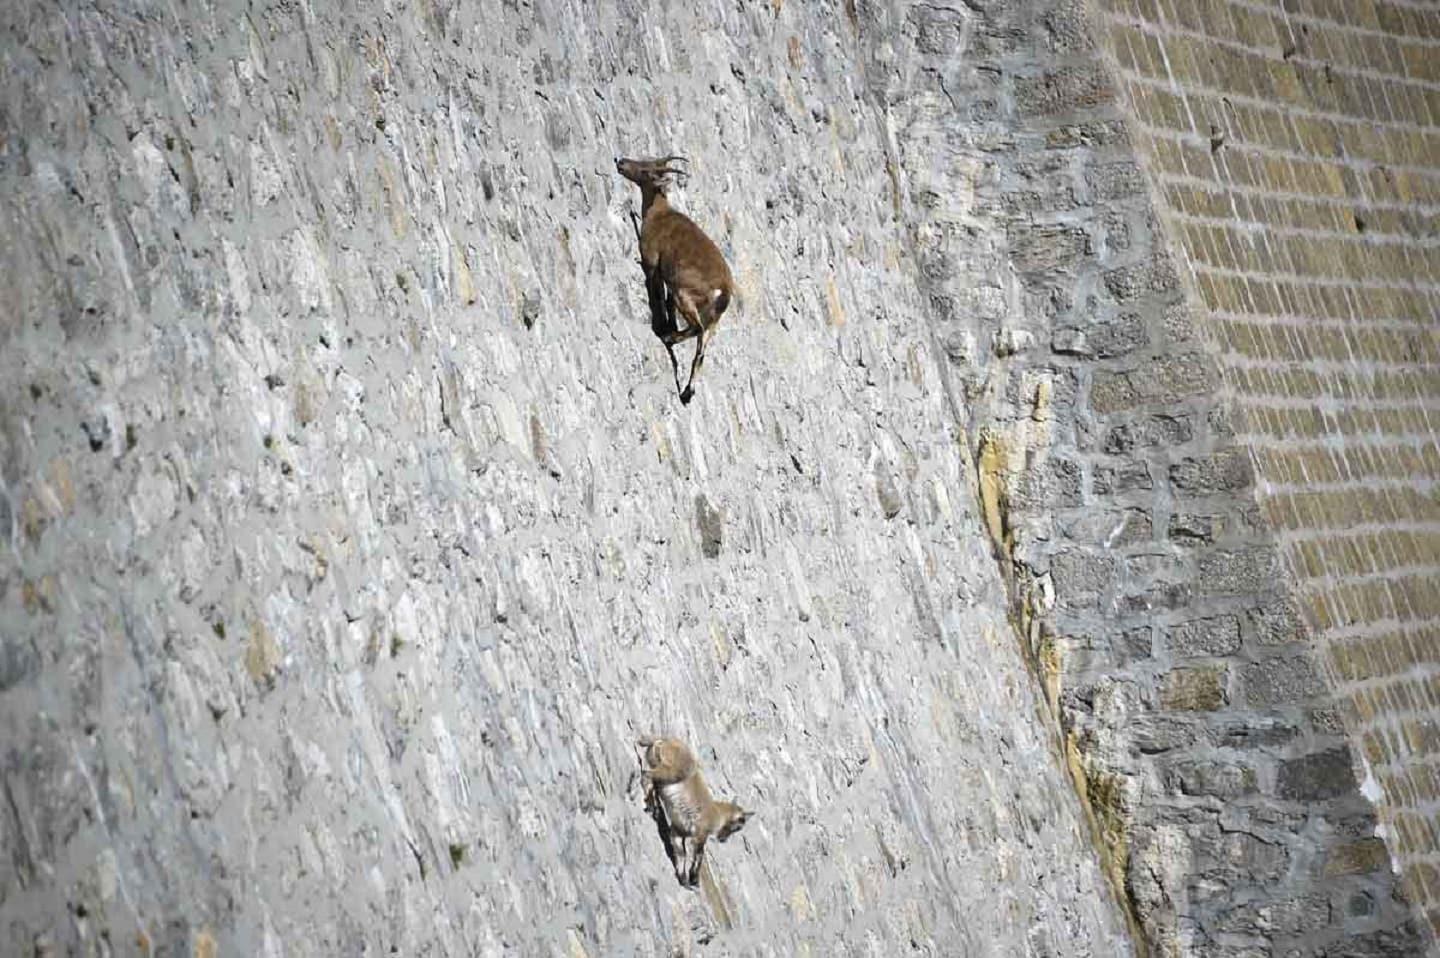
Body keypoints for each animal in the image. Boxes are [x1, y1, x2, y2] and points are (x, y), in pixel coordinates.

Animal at [616, 155, 735, 405]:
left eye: (646, 170)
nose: (620, 161)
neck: (659, 214)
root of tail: (724, 292)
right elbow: (668, 301)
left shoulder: (653, 262)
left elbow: (658, 293)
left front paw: (663, 325)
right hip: (713, 321)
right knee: (701, 352)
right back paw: (687, 392)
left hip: (687, 296)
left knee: (696, 329)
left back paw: (668, 339)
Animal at [637, 735, 751, 887]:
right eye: (738, 827)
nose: (723, 840)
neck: (717, 814)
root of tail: (665, 739)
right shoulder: (700, 833)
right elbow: (698, 855)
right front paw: (694, 878)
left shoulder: (679, 830)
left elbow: (681, 853)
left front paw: (683, 877)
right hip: (672, 771)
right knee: (647, 776)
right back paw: (651, 806)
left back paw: (653, 806)